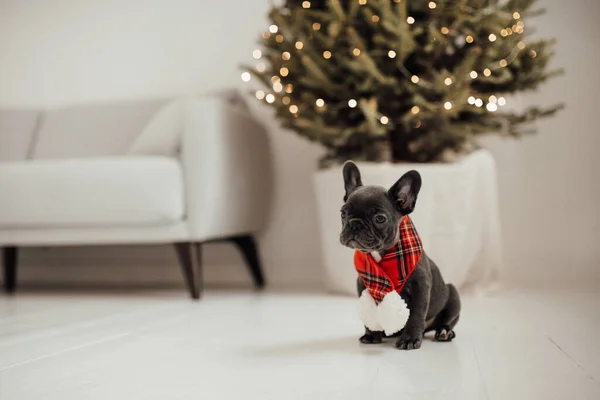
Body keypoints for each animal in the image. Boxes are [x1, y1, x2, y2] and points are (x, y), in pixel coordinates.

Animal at [340, 160, 462, 350]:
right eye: (343, 213)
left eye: (380, 218)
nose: (354, 224)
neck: (381, 254)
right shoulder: (363, 285)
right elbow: (370, 315)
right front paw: (371, 335)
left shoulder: (421, 286)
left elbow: (416, 314)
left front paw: (410, 339)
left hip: (453, 295)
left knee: (447, 320)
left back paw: (444, 332)